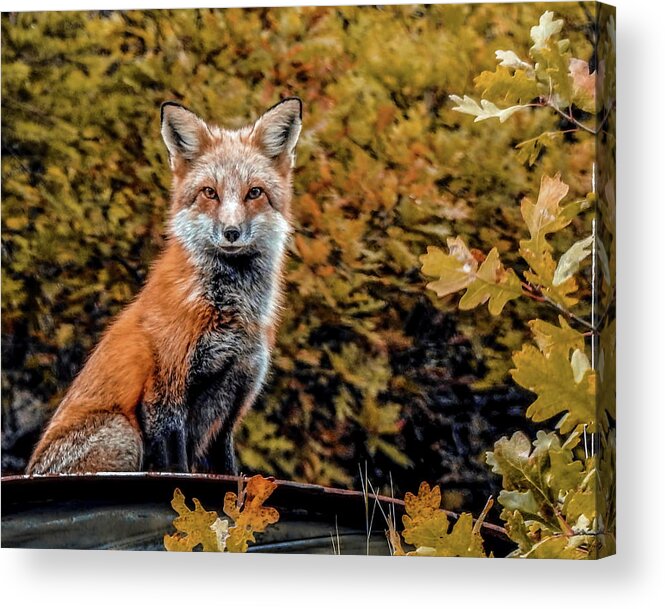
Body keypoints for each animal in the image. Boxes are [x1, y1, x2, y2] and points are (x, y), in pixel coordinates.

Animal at [27, 96, 302, 476]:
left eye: (254, 193)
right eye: (210, 193)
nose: (231, 232)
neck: (227, 310)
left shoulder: (232, 403)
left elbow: (229, 474)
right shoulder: (165, 394)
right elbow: (175, 468)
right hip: (124, 431)